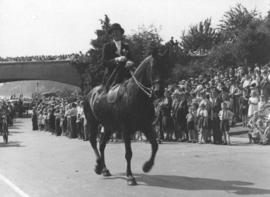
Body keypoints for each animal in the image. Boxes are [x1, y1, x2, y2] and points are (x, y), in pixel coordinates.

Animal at [84, 50, 168, 185]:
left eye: (165, 67)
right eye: (153, 67)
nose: (159, 91)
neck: (136, 95)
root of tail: (91, 93)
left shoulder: (146, 126)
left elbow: (155, 145)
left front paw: (147, 166)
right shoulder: (126, 129)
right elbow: (128, 153)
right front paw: (130, 176)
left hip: (109, 127)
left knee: (102, 145)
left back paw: (104, 169)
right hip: (93, 123)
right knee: (93, 142)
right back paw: (98, 165)